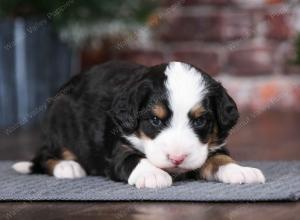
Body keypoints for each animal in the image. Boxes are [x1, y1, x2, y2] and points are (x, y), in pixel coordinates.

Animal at [12, 61, 264, 188]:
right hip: (58, 123)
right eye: (155, 120)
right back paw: (67, 167)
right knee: (44, 155)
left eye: (200, 120)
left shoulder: (212, 146)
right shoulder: (117, 147)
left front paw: (240, 170)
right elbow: (133, 158)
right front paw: (152, 174)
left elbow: (221, 157)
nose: (177, 159)